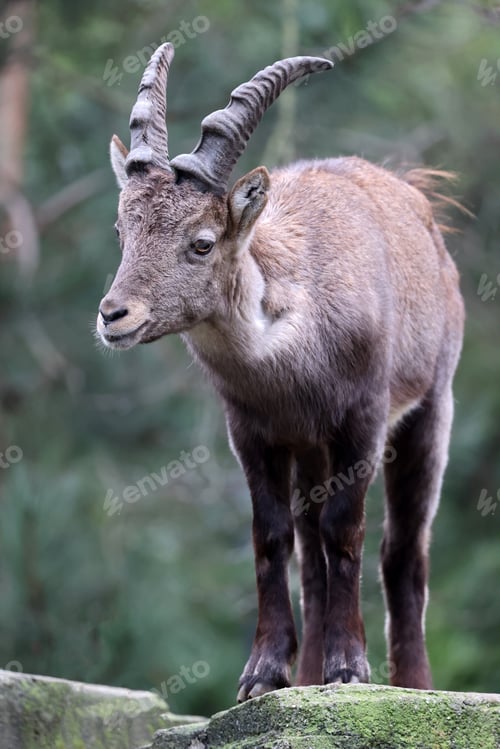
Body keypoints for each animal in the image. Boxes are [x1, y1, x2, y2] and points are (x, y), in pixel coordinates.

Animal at [97, 43, 464, 701]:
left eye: (202, 242)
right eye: (123, 229)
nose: (114, 315)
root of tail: (420, 201)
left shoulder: (362, 420)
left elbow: (347, 530)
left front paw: (350, 668)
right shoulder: (254, 431)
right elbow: (271, 538)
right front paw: (263, 675)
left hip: (430, 409)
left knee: (404, 552)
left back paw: (413, 685)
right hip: (310, 452)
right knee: (311, 556)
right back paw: (309, 674)